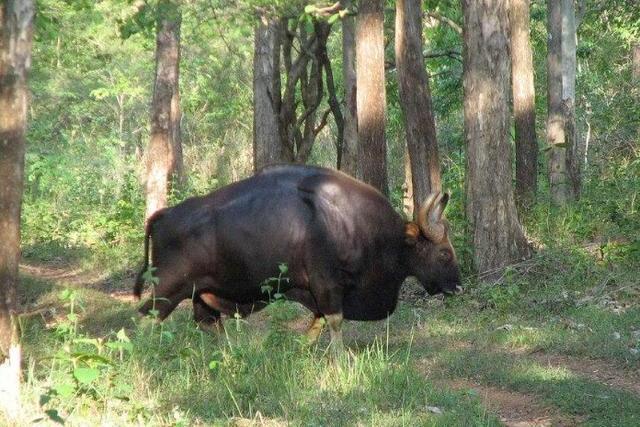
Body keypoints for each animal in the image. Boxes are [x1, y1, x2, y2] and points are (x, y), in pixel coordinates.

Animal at [135, 166, 460, 350]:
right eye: (444, 252)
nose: (458, 286)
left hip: (201, 293)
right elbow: (335, 321)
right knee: (145, 319)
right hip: (168, 289)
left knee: (208, 324)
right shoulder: (327, 284)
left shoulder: (318, 292)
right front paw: (340, 363)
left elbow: (317, 324)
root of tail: (163, 215)